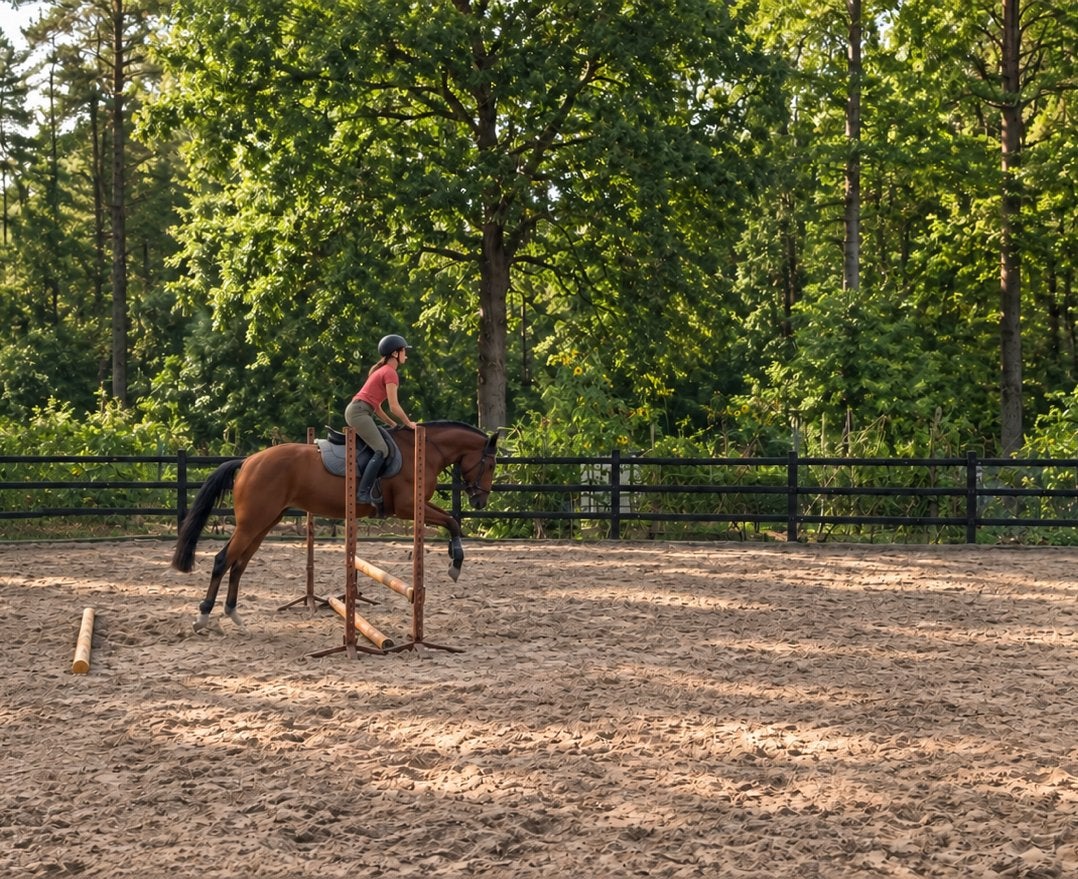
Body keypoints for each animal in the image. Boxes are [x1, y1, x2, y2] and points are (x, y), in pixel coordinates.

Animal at [171, 421, 498, 633]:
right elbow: (452, 521)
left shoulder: (414, 508)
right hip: (253, 523)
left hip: (264, 522)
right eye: (492, 464)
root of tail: (248, 461)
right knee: (223, 560)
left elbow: (451, 521)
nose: (480, 501)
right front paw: (455, 563)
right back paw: (203, 618)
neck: (425, 450)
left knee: (239, 564)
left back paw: (234, 615)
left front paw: (454, 558)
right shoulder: (407, 508)